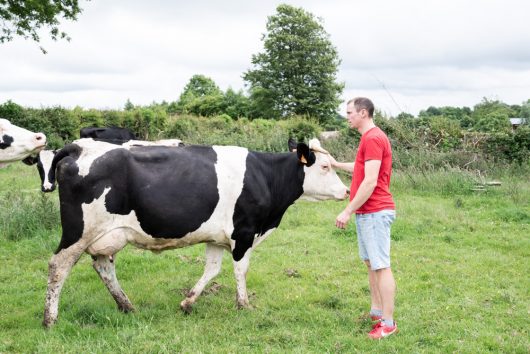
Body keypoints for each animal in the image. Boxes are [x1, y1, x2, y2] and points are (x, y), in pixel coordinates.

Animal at [41, 138, 346, 326]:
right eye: (325, 166)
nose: (345, 191)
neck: (265, 177)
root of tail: (79, 146)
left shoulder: (217, 237)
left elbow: (211, 269)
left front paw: (187, 302)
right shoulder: (244, 232)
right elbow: (241, 270)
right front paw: (243, 305)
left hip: (106, 235)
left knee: (103, 267)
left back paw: (127, 306)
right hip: (78, 232)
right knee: (58, 266)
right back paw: (50, 319)